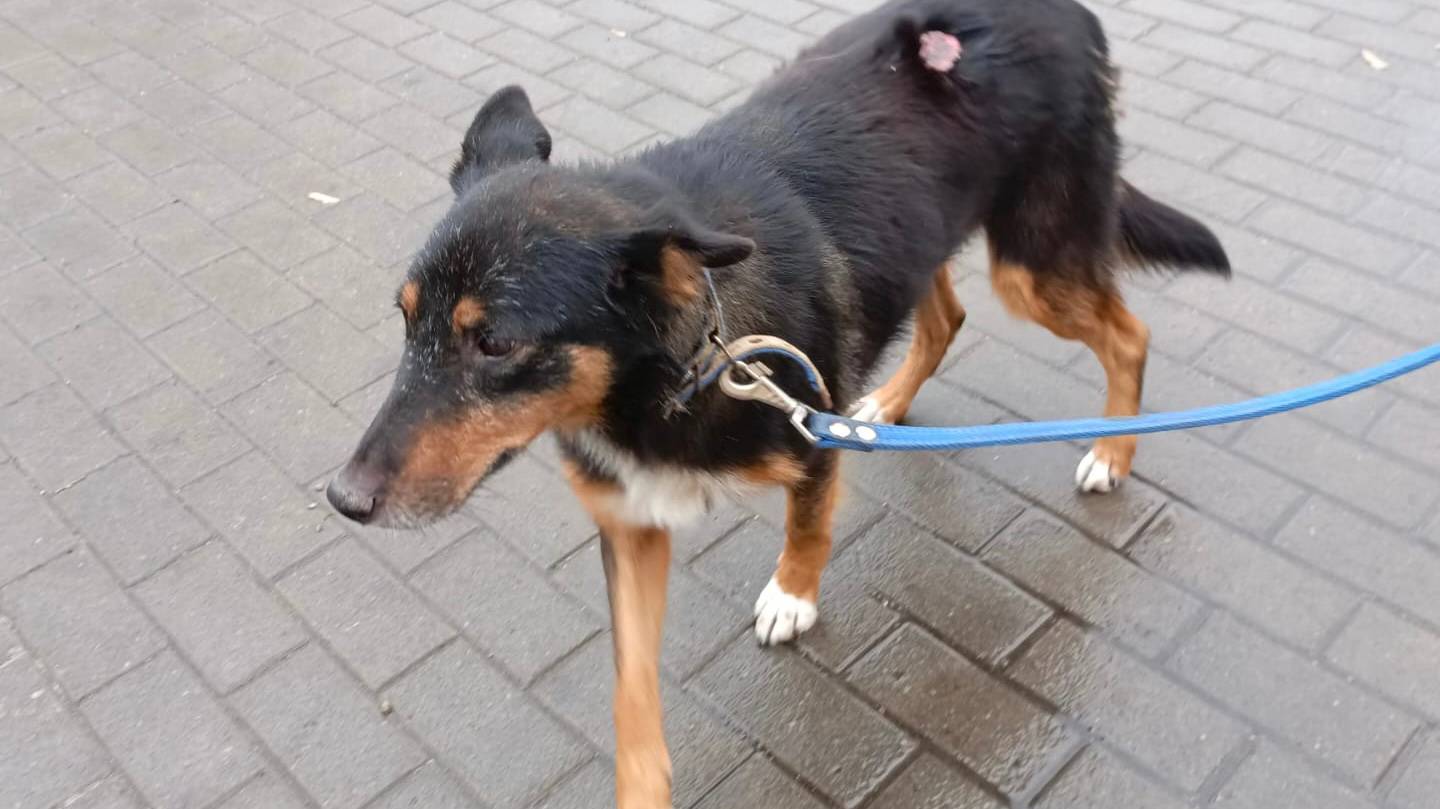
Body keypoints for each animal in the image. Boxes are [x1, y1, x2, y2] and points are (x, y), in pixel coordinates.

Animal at [327, 0, 1230, 805]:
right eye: (405, 318)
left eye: (495, 344)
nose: (343, 499)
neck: (682, 362)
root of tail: (1074, 13)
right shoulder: (631, 524)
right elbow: (631, 695)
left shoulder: (807, 440)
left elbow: (809, 526)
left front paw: (793, 596)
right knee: (945, 318)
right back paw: (886, 404)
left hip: (1034, 264)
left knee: (1129, 334)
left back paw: (1112, 451)